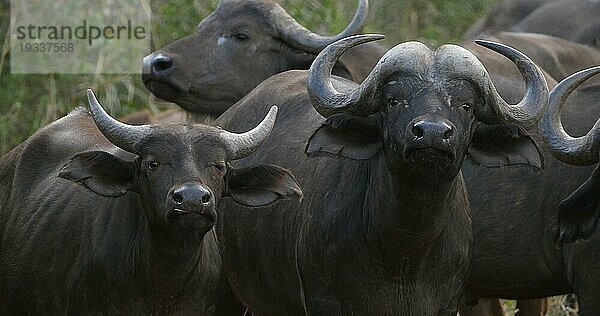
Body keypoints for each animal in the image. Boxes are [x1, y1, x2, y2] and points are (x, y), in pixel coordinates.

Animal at [213, 34, 552, 314]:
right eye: (394, 101)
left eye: (466, 105)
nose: (431, 133)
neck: (405, 254)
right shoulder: (323, 300)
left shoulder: (447, 303)